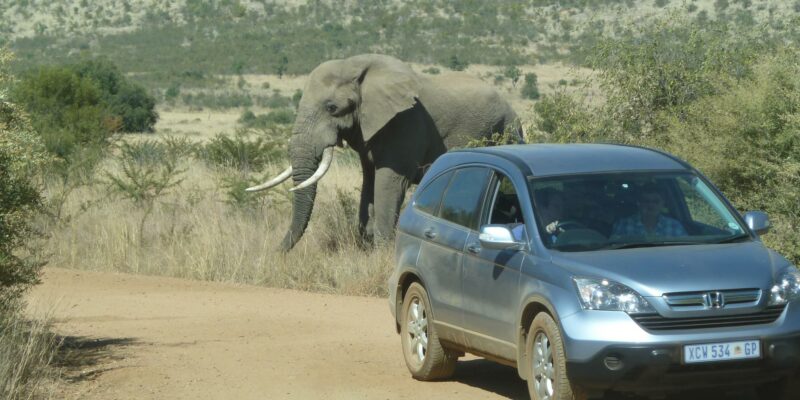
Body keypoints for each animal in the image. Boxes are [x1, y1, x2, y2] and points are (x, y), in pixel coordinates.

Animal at [248, 54, 523, 251]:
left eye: (332, 107)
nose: (273, 253)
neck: (355, 67)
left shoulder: (406, 122)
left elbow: (389, 181)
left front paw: (382, 251)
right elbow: (369, 180)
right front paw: (367, 247)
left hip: (508, 129)